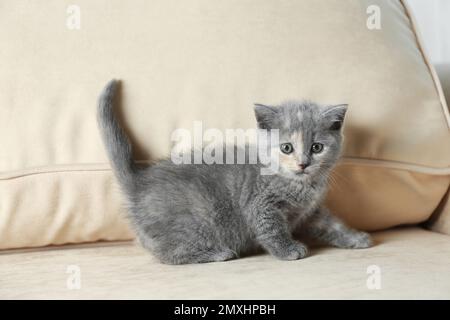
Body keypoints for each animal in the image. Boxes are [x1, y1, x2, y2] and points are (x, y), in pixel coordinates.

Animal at [97, 80, 372, 264]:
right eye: (287, 147)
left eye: (316, 147)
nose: (303, 163)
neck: (299, 185)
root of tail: (138, 181)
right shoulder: (261, 203)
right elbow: (271, 228)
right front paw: (288, 250)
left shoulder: (309, 212)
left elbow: (331, 224)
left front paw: (356, 238)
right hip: (194, 221)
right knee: (167, 254)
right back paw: (217, 253)